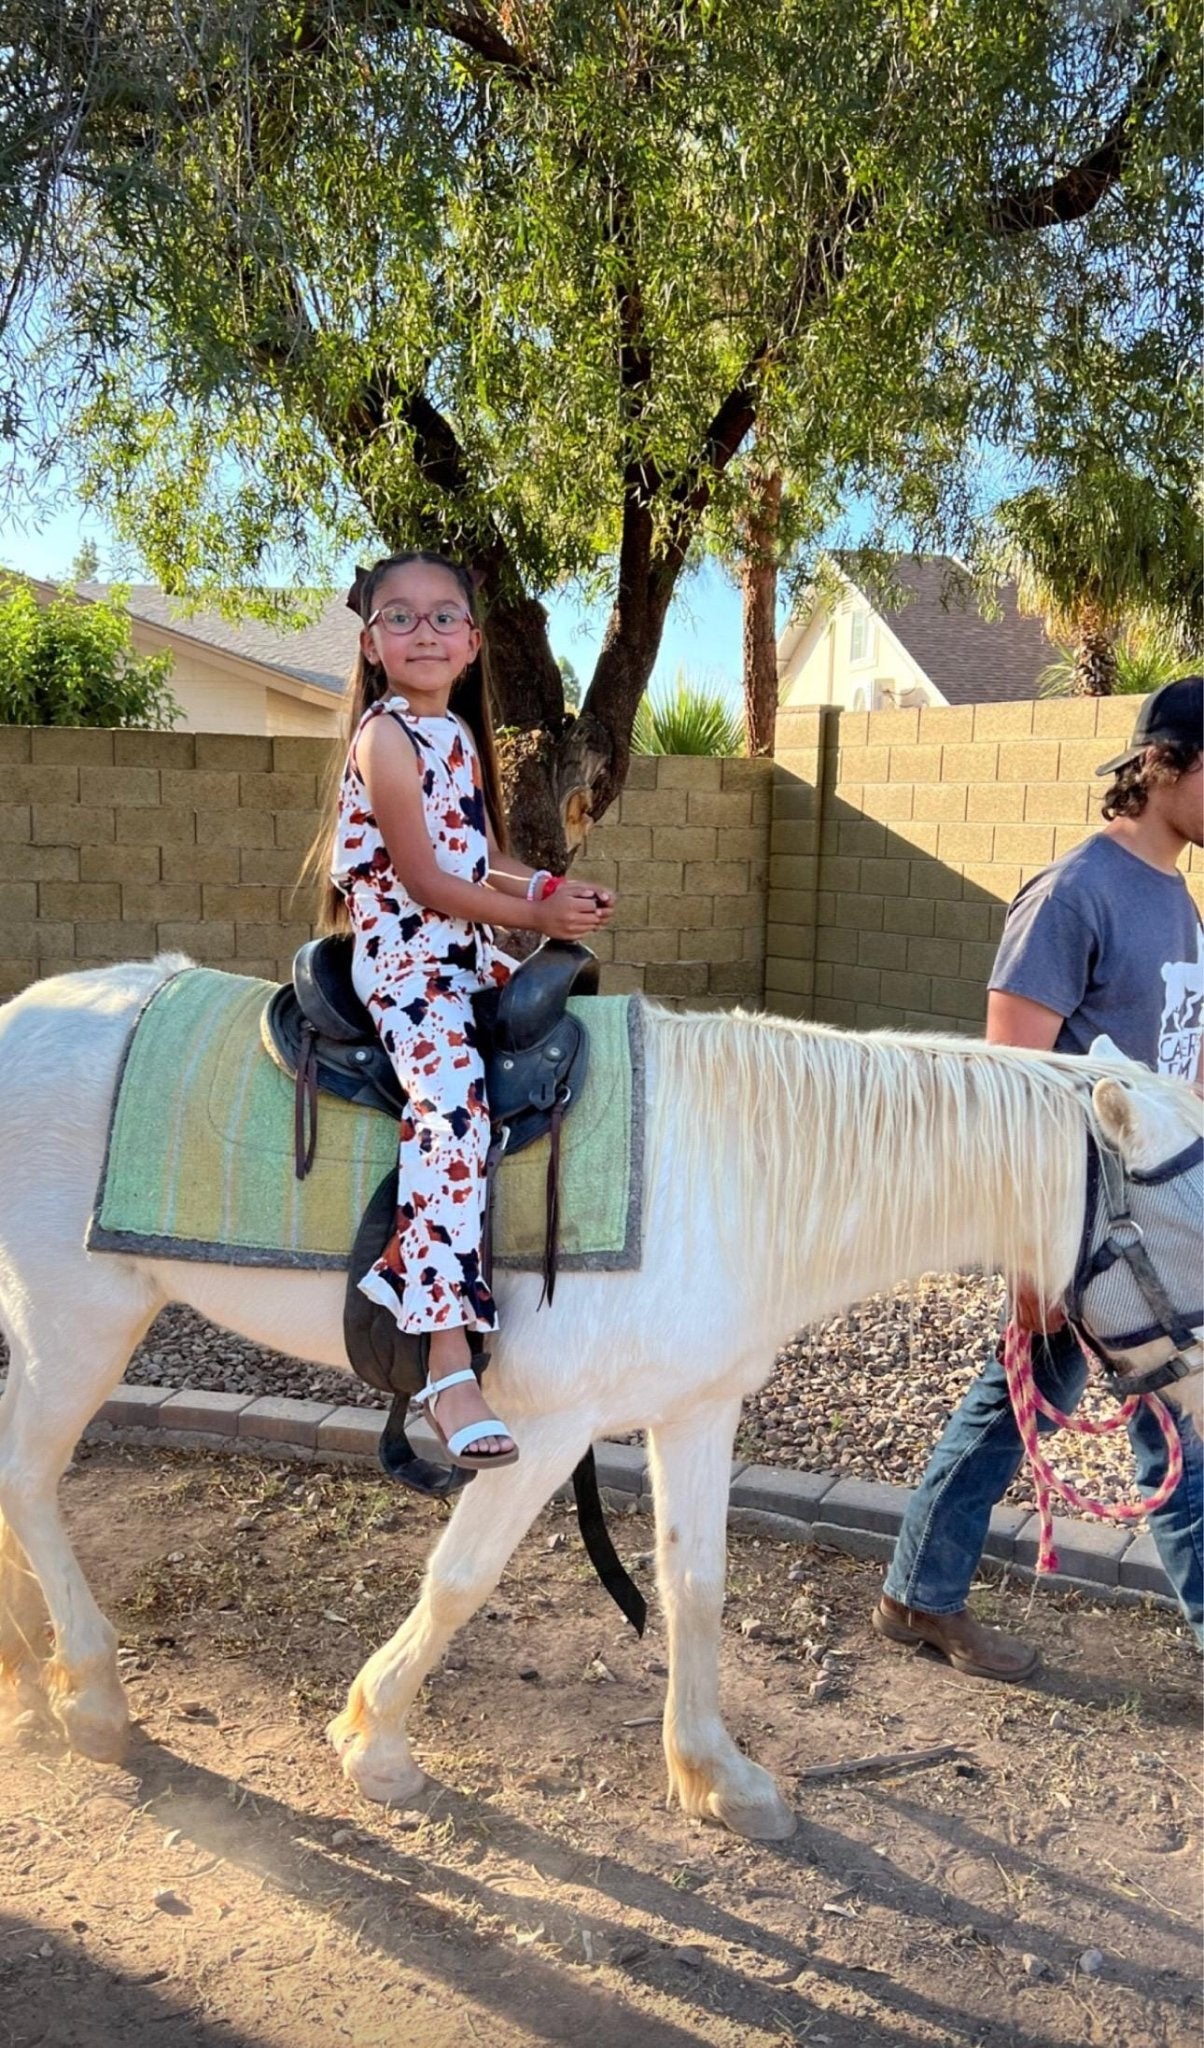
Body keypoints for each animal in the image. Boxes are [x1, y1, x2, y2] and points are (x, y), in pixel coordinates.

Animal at [2, 958, 1204, 1843]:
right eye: (1193, 1219)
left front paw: (717, 1775)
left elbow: (695, 1583)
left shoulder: (697, 1409)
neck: (735, 1177)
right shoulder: (541, 1432)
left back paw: (27, 1670)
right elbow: (459, 1579)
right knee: (28, 1476)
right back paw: (92, 1694)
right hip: (81, 1322)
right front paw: (375, 1745)